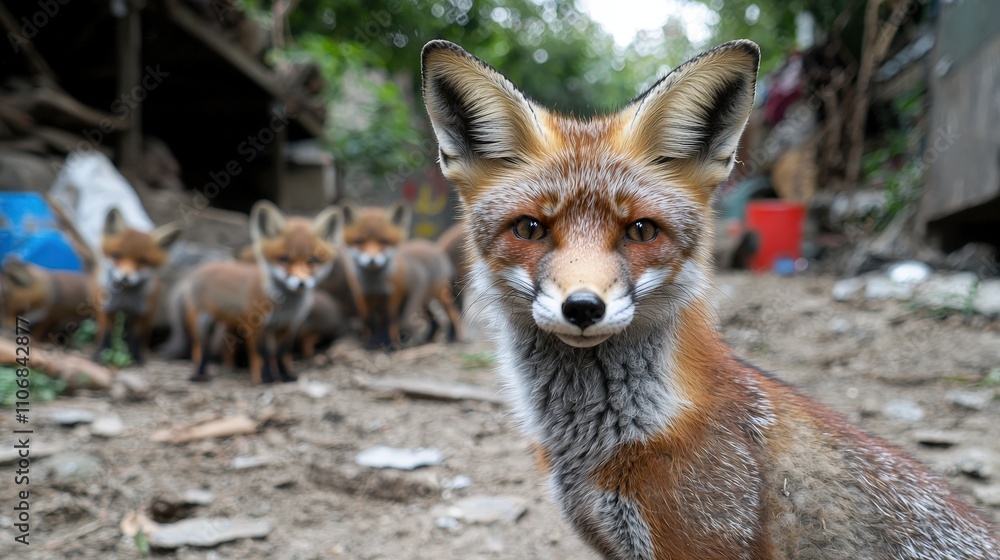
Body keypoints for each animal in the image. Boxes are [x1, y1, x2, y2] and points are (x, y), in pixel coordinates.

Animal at [97, 208, 182, 363]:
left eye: (143, 261)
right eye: (116, 255)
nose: (125, 277)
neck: (125, 297)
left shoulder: (141, 313)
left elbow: (136, 338)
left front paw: (136, 359)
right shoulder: (107, 308)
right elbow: (106, 333)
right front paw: (99, 355)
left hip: (148, 316)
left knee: (143, 338)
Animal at [182, 201, 342, 385]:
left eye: (313, 260)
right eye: (284, 259)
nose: (301, 283)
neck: (284, 308)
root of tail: (202, 267)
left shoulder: (288, 326)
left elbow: (281, 354)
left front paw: (285, 376)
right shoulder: (257, 326)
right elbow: (263, 353)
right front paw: (266, 378)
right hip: (202, 322)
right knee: (200, 349)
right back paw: (199, 373)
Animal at [342, 202, 461, 348]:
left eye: (384, 241)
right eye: (359, 241)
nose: (372, 260)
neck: (375, 284)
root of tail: (432, 245)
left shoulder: (393, 296)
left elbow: (389, 322)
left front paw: (389, 345)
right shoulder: (363, 296)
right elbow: (369, 321)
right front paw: (372, 345)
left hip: (439, 295)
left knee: (453, 314)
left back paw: (454, 337)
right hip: (423, 301)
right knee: (434, 321)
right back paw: (426, 340)